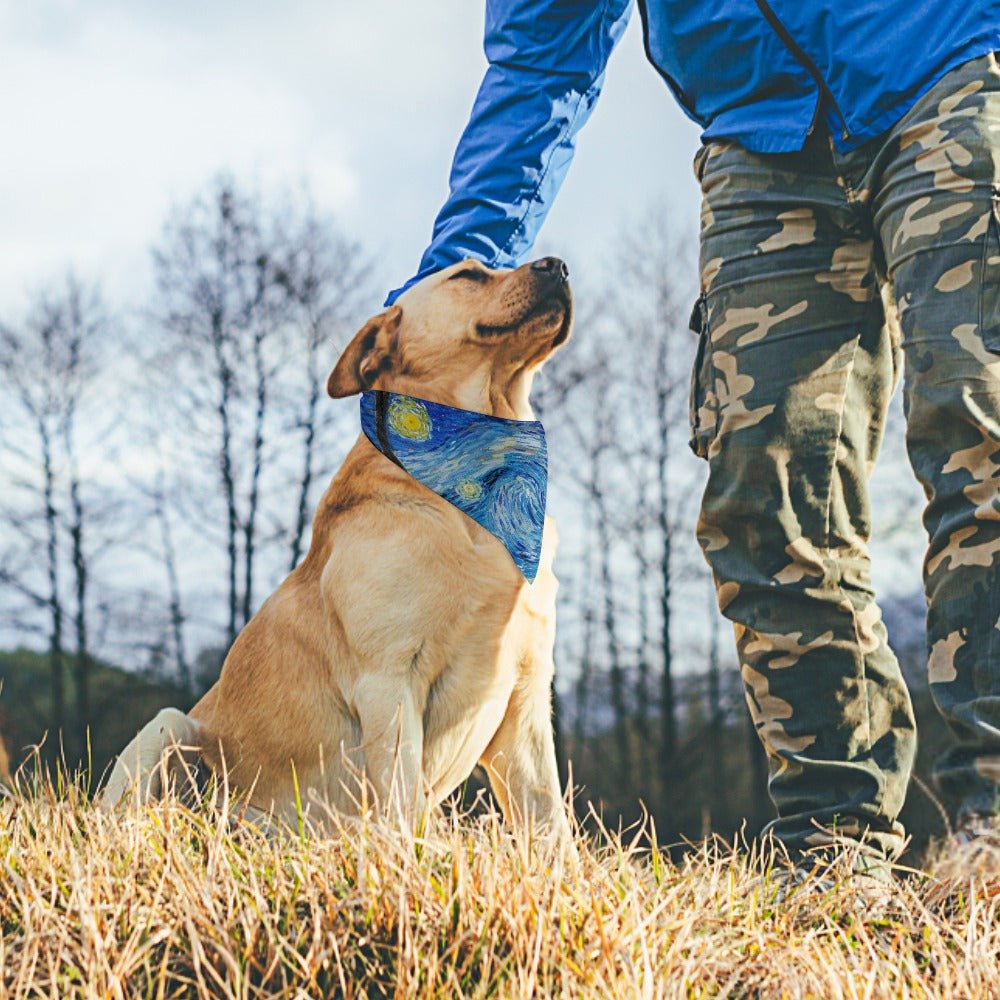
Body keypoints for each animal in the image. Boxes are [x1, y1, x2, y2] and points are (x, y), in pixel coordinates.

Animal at [102, 254, 576, 840]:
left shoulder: (527, 693)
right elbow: (403, 805)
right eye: (468, 275)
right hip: (170, 728)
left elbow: (552, 825)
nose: (559, 266)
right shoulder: (388, 680)